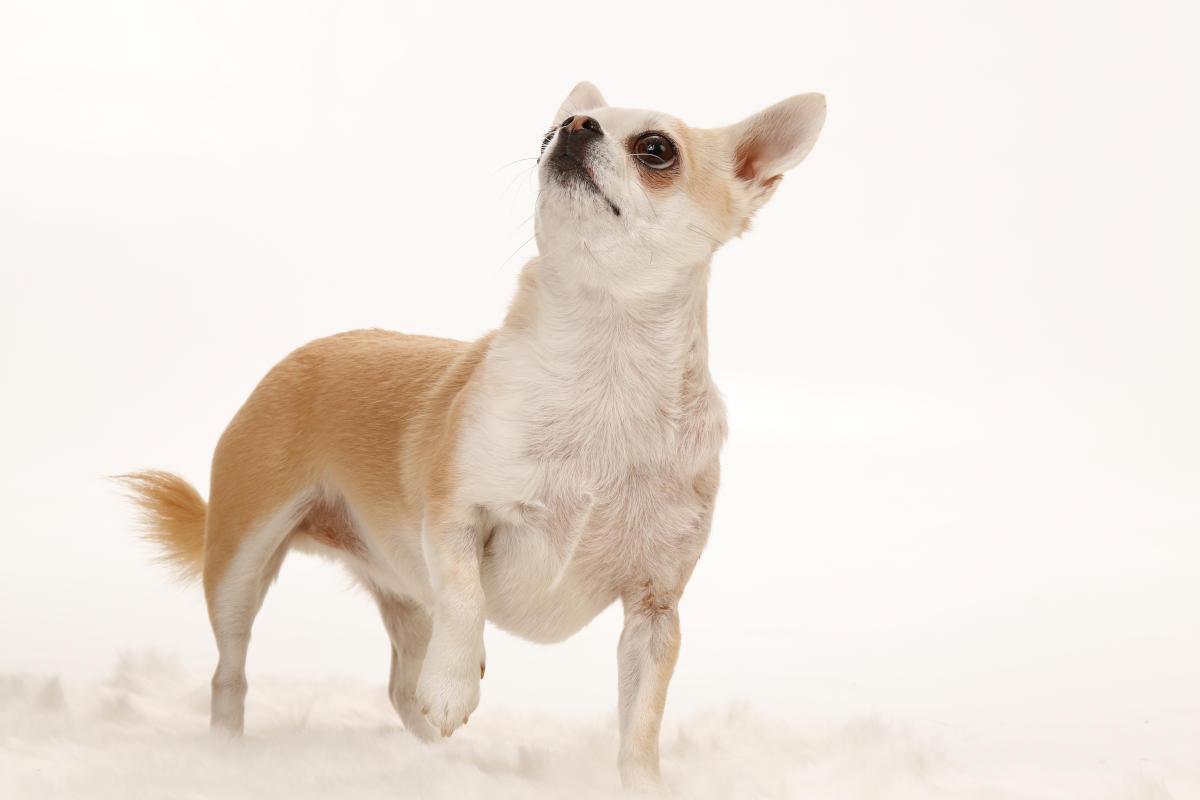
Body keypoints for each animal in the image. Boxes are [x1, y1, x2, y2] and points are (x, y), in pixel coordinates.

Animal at [124, 77, 825, 791]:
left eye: (657, 150)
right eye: (547, 135)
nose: (572, 126)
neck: (602, 363)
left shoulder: (654, 611)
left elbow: (640, 726)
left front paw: (643, 787)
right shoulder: (454, 517)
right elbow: (465, 598)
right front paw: (455, 686)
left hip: (402, 590)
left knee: (399, 685)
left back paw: (439, 761)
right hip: (242, 560)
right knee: (230, 670)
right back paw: (229, 754)